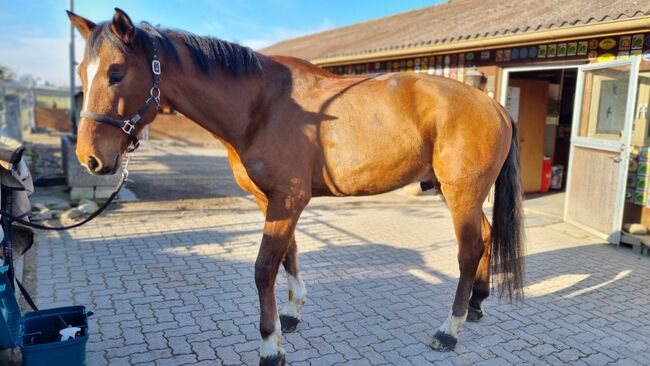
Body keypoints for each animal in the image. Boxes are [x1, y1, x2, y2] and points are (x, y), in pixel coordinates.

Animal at [67, 8, 520, 366]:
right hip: (459, 194)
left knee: (468, 250)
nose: (89, 159)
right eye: (81, 74)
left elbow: (264, 268)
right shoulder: (271, 199)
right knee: (486, 235)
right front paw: (291, 314)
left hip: (460, 193)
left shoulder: (288, 200)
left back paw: (449, 329)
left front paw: (271, 346)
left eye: (116, 73)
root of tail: (493, 105)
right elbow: (289, 255)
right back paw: (477, 304)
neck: (261, 105)